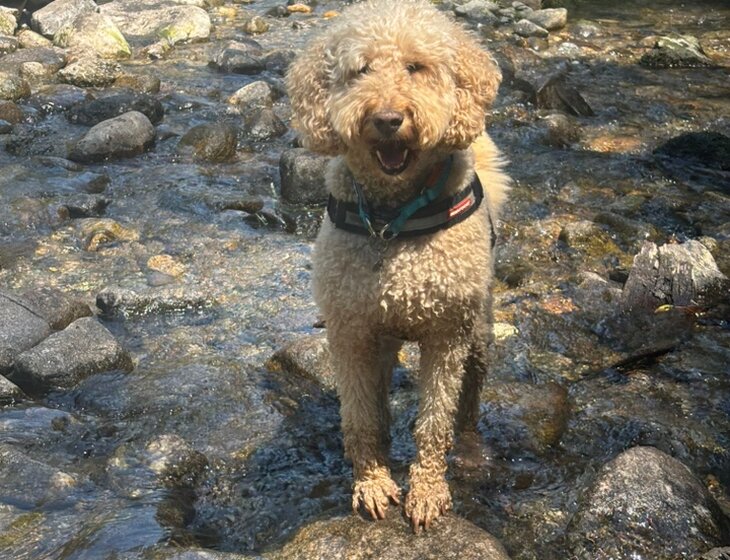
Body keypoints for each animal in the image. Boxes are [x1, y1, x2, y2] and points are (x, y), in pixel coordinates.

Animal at [286, 0, 509, 532]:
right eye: (361, 70)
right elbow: (362, 417)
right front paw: (371, 481)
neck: (392, 221)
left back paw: (470, 448)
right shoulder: (350, 331)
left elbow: (434, 421)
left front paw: (427, 490)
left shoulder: (447, 336)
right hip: (383, 339)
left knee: (469, 398)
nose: (387, 119)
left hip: (478, 331)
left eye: (415, 67)